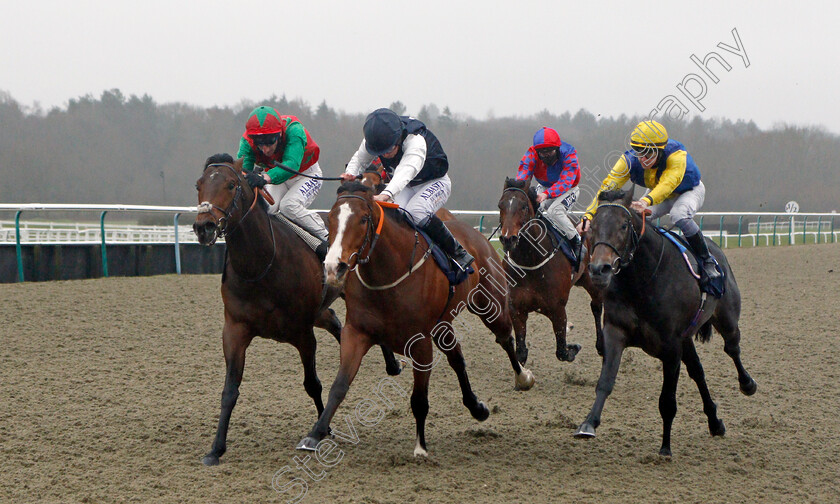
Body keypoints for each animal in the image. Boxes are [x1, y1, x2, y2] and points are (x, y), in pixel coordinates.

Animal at [193, 154, 400, 464]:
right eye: (199, 184)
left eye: (230, 184)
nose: (204, 226)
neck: (262, 264)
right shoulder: (234, 329)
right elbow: (229, 390)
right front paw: (216, 448)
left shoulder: (302, 333)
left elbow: (312, 384)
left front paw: (321, 431)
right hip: (321, 311)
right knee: (336, 323)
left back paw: (392, 362)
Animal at [296, 182, 532, 456]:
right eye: (332, 218)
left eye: (364, 219)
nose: (335, 267)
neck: (388, 273)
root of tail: (477, 236)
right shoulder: (356, 333)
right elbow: (339, 386)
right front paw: (315, 434)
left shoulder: (420, 343)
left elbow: (419, 398)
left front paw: (420, 446)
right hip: (443, 325)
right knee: (457, 358)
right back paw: (477, 408)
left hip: (490, 306)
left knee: (504, 339)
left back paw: (523, 378)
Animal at [498, 178, 604, 366]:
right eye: (500, 205)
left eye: (523, 206)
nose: (507, 238)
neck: (531, 262)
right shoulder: (516, 310)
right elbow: (521, 353)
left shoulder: (557, 309)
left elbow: (562, 351)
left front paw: (573, 347)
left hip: (590, 279)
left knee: (597, 305)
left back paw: (600, 345)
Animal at [576, 188, 756, 456]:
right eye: (592, 228)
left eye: (623, 225)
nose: (599, 269)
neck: (641, 280)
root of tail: (716, 249)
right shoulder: (615, 332)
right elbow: (605, 382)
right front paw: (588, 423)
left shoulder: (671, 347)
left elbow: (667, 401)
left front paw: (665, 447)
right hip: (687, 338)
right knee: (698, 372)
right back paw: (715, 423)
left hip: (726, 319)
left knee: (732, 348)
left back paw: (747, 384)